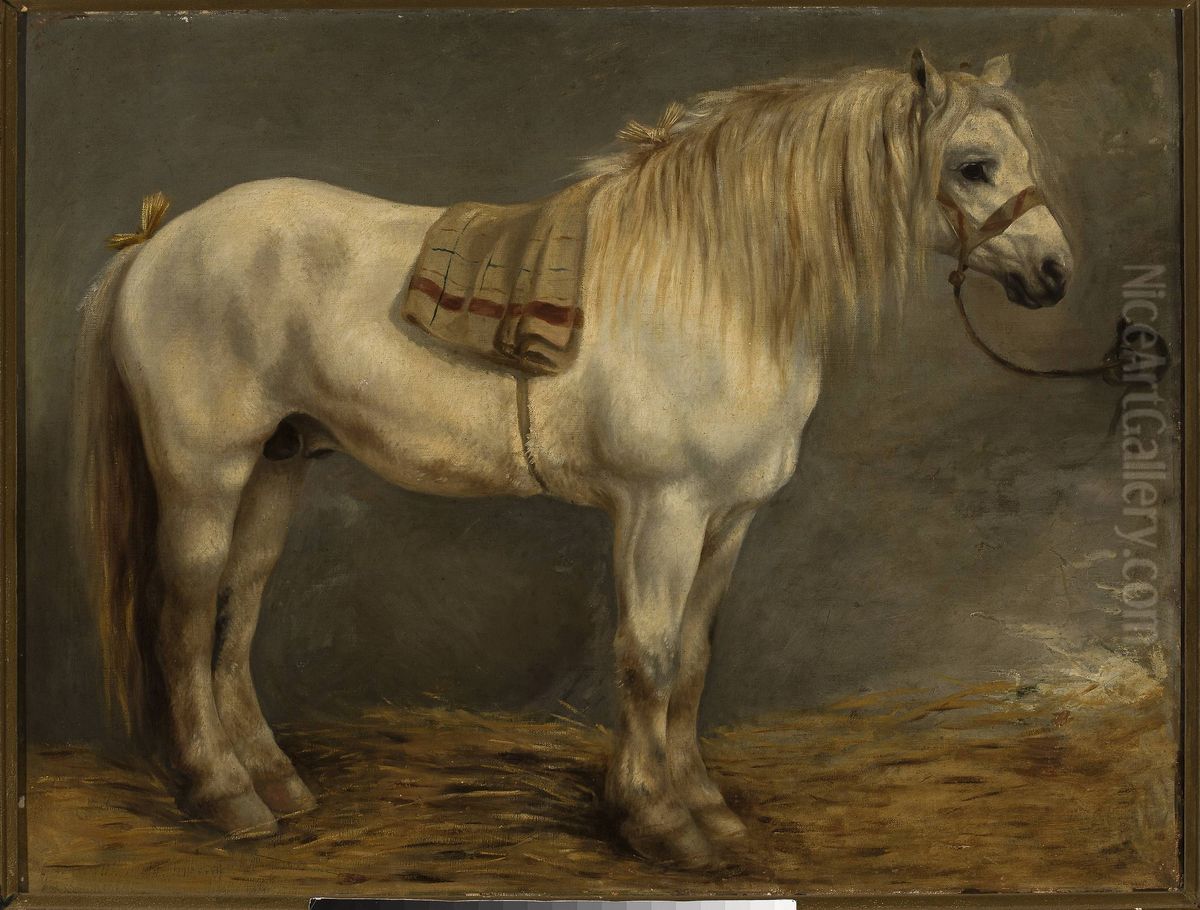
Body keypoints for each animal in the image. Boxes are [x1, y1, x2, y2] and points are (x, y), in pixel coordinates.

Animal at [72, 49, 1073, 869]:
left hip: (276, 465)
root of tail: (158, 243)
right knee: (185, 615)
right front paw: (658, 823)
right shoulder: (661, 513)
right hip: (205, 472)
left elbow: (693, 662)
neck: (713, 282)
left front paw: (704, 806)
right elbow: (648, 658)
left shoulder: (727, 521)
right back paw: (224, 796)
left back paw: (275, 782)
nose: (1056, 274)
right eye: (974, 165)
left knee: (236, 613)